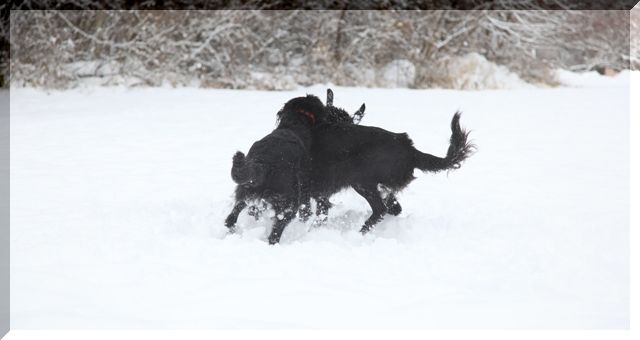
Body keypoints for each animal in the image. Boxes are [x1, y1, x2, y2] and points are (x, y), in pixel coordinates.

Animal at [224, 95, 324, 244]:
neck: (294, 124)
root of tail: (263, 162)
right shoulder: (304, 183)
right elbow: (305, 210)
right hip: (288, 203)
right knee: (275, 232)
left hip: (245, 190)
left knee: (231, 217)